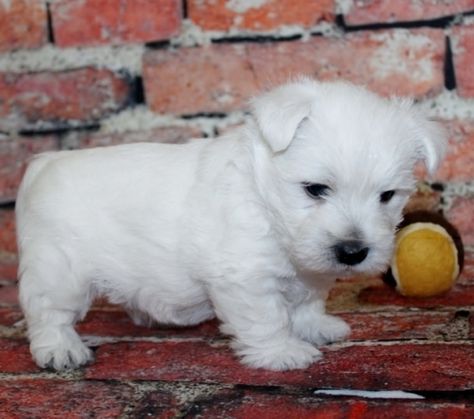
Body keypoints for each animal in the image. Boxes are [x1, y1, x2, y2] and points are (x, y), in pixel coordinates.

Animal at [13, 79, 444, 370]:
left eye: (387, 196)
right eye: (315, 189)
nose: (353, 252)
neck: (265, 201)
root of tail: (43, 164)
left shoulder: (309, 273)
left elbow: (306, 302)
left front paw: (317, 326)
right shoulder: (245, 277)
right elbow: (268, 317)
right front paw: (282, 352)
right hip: (59, 270)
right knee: (47, 312)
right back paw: (60, 350)